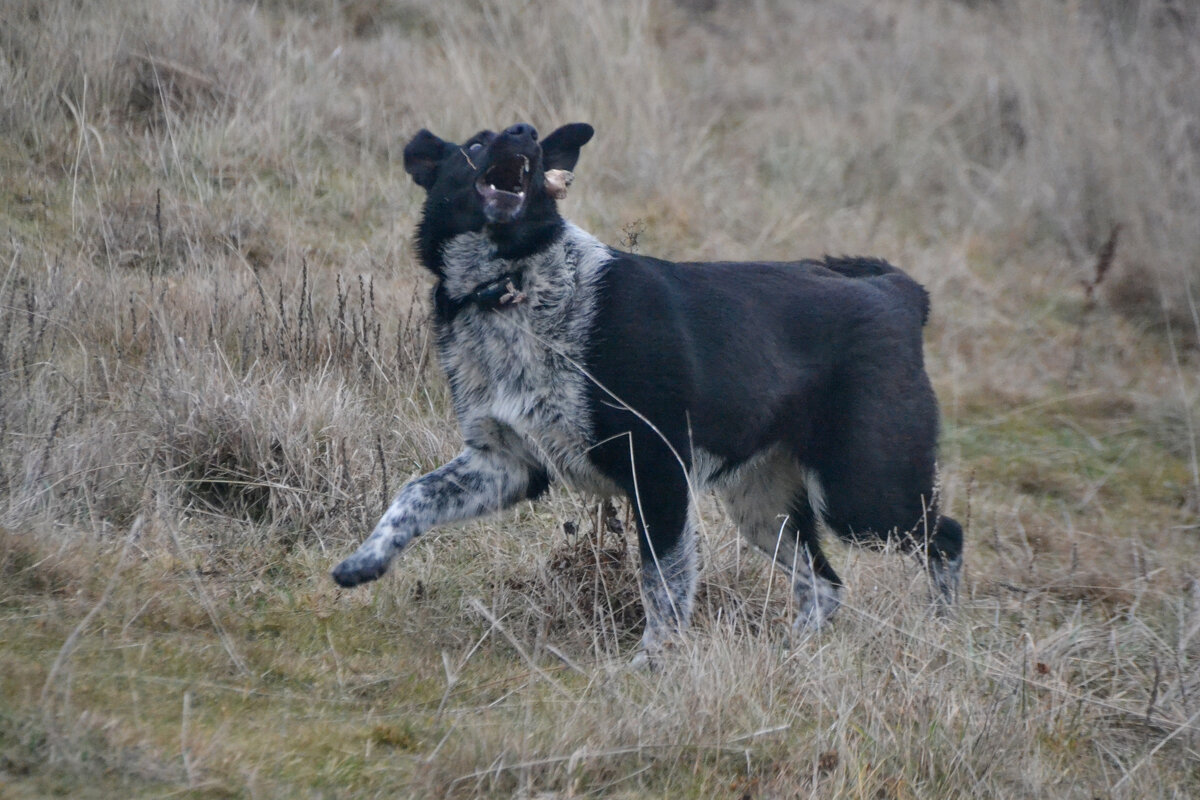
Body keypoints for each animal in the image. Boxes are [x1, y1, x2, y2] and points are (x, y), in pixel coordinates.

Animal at [331, 117, 964, 657]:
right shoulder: (505, 463)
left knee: (946, 538)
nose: (526, 132)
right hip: (764, 506)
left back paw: (947, 630)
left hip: (863, 493)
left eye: (524, 140)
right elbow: (413, 494)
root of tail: (899, 294)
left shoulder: (656, 468)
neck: (511, 287)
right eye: (477, 143)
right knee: (825, 584)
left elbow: (662, 580)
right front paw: (365, 559)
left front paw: (654, 662)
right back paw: (793, 652)